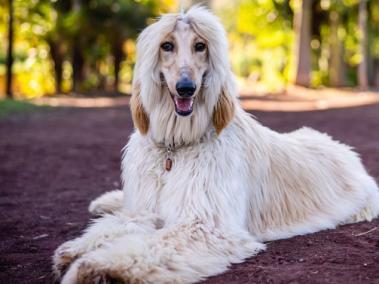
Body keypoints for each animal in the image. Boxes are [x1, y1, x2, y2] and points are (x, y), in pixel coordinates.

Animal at [54, 6, 379, 284]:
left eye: (200, 46)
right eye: (167, 46)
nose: (186, 88)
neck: (177, 146)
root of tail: (347, 152)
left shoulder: (205, 225)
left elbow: (149, 246)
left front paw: (93, 267)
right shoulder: (147, 208)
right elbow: (122, 223)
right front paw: (77, 249)